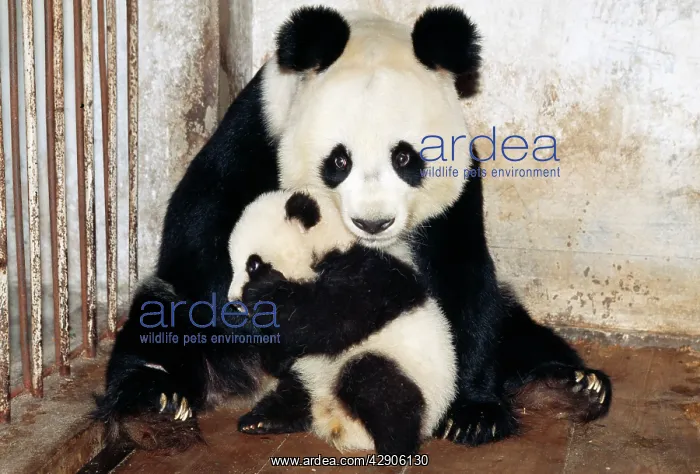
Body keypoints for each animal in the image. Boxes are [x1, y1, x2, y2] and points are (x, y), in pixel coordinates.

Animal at [225, 189, 456, 454]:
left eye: (253, 264)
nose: (234, 301)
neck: (334, 239)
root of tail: (334, 419)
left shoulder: (371, 276)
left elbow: (328, 316)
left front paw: (264, 291)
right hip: (308, 374)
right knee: (294, 392)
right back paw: (261, 419)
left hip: (409, 371)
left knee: (381, 387)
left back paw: (394, 445)